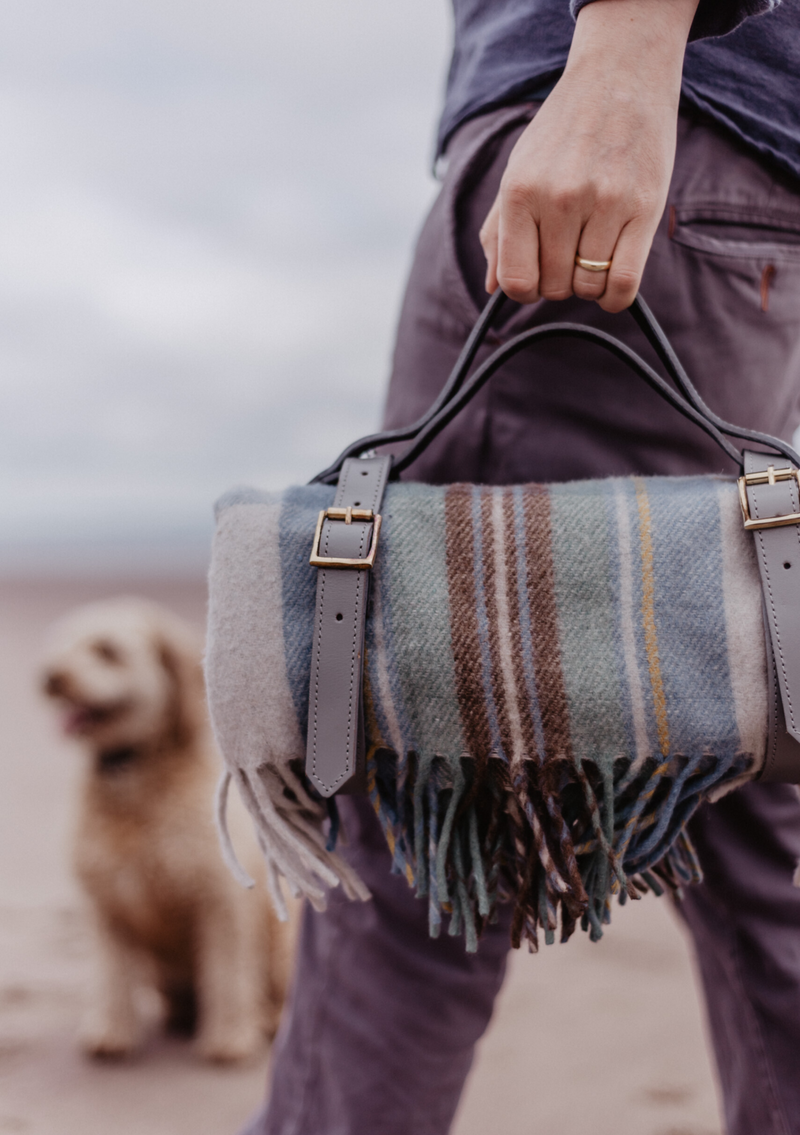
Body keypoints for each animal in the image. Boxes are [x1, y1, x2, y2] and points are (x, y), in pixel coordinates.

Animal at [40, 599, 297, 1057]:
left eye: (106, 650)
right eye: (62, 645)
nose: (50, 678)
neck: (133, 780)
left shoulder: (221, 901)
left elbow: (227, 972)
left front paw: (230, 1038)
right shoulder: (106, 907)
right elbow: (112, 975)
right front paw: (112, 1030)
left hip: (283, 942)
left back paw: (264, 1020)